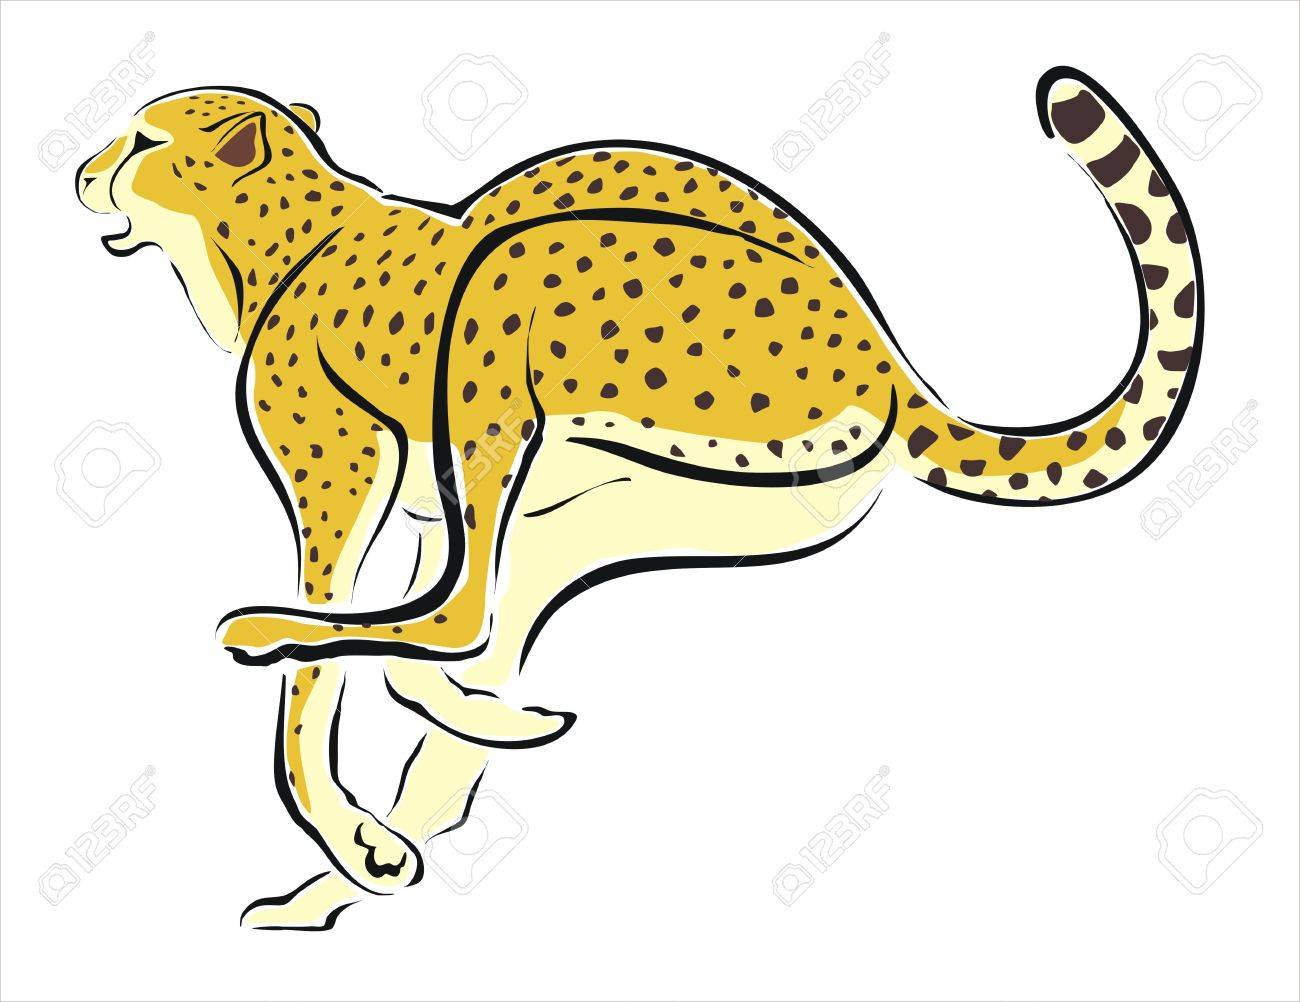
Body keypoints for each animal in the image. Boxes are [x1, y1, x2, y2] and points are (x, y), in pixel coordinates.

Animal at [75, 67, 1202, 929]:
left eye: (143, 140)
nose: (82, 172)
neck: (280, 234)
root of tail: (887, 359)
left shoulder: (342, 482)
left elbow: (321, 690)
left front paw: (350, 817)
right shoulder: (430, 511)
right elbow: (411, 655)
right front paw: (393, 820)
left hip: (520, 313)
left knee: (466, 614)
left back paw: (290, 661)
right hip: (657, 503)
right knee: (480, 629)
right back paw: (428, 792)